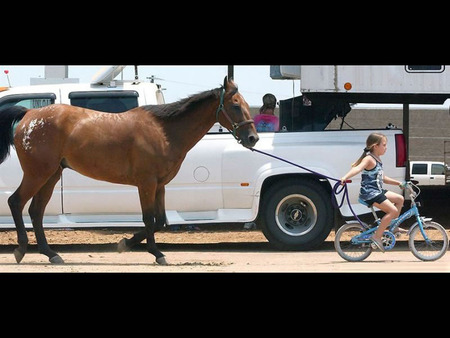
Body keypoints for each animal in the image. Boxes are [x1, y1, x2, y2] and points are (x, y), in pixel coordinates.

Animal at [0, 76, 258, 264]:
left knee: (36, 211)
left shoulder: (160, 186)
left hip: (51, 176)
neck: (164, 132)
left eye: (247, 105)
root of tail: (30, 115)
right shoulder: (146, 184)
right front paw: (154, 253)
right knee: (16, 202)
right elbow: (148, 219)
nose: (252, 138)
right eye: (236, 106)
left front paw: (126, 244)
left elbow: (159, 221)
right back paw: (21, 250)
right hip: (38, 174)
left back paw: (51, 254)